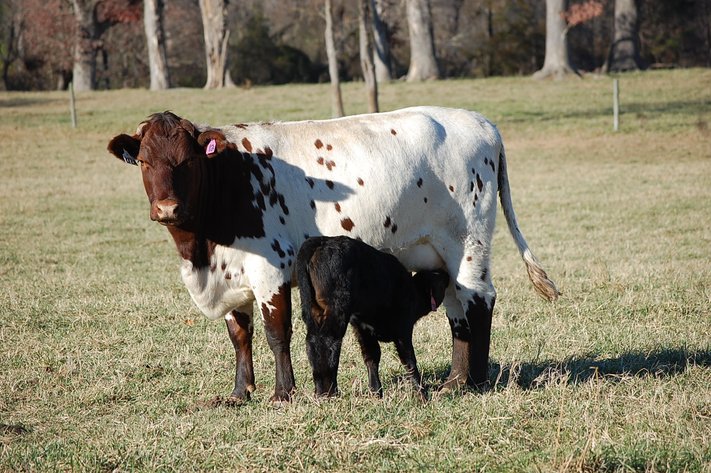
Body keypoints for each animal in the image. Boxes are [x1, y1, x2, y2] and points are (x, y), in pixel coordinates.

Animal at [296, 236, 450, 398]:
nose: (446, 274)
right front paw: (422, 393)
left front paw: (376, 392)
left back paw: (320, 389)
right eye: (437, 279)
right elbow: (408, 359)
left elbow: (372, 356)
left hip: (312, 309)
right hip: (336, 309)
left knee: (312, 341)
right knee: (328, 341)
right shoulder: (403, 327)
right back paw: (329, 391)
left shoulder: (361, 328)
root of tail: (322, 241)